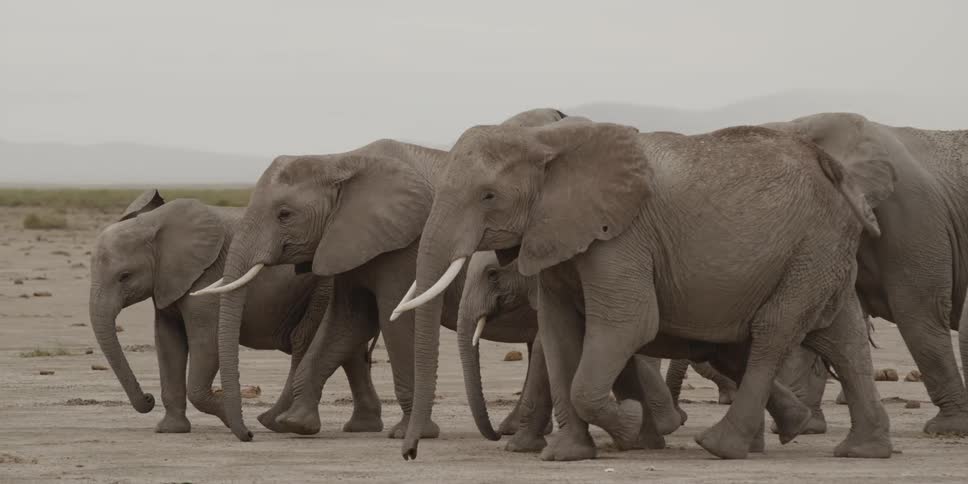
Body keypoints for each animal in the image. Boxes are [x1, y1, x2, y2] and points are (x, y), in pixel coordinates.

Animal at [88, 190, 381, 434]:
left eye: (124, 276)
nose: (147, 399)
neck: (153, 224)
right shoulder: (167, 284)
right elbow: (168, 342)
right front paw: (170, 430)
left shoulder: (205, 278)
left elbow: (206, 342)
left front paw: (230, 418)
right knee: (348, 349)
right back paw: (361, 427)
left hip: (323, 287)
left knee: (306, 341)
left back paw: (275, 423)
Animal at [394, 114, 897, 461]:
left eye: (488, 196)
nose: (410, 453)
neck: (547, 142)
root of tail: (833, 169)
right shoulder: (556, 234)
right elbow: (559, 335)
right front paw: (568, 455)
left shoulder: (621, 236)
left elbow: (628, 325)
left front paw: (636, 429)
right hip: (820, 252)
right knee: (841, 338)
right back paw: (854, 447)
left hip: (811, 246)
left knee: (774, 331)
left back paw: (720, 445)